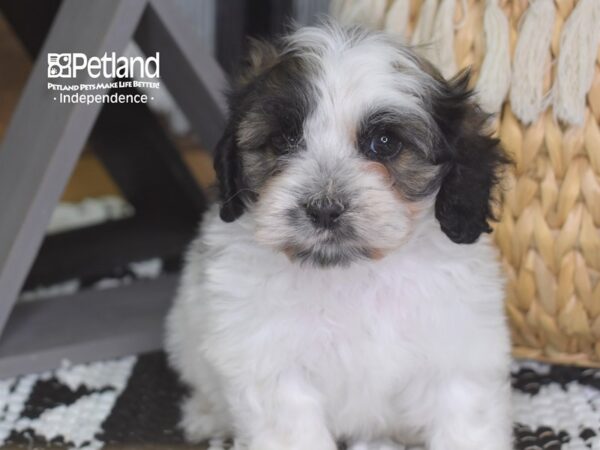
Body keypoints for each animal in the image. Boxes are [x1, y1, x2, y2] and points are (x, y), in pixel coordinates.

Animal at [168, 22, 510, 450]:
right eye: (282, 141)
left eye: (385, 143)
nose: (324, 209)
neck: (351, 274)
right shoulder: (271, 363)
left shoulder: (455, 352)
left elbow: (463, 421)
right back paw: (205, 416)